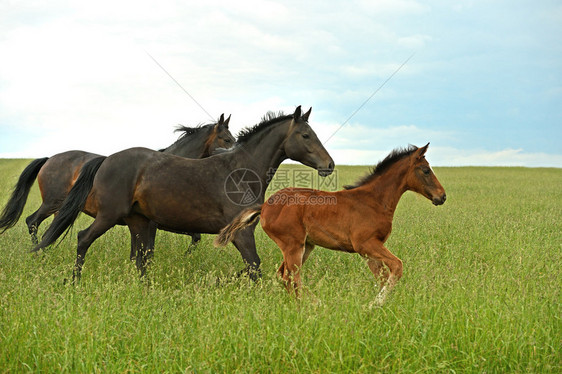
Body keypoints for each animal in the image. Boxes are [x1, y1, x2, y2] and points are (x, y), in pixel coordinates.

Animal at [0, 113, 233, 248]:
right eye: (227, 139)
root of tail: (49, 159)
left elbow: (193, 237)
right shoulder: (154, 223)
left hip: (60, 208)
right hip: (51, 203)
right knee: (32, 221)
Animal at [31, 105, 332, 280]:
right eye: (306, 135)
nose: (329, 165)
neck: (240, 171)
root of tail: (105, 160)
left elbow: (250, 266)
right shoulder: (242, 232)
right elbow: (254, 265)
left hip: (137, 221)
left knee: (140, 260)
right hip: (108, 215)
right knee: (81, 238)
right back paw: (74, 281)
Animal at [215, 144, 446, 306]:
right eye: (426, 170)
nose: (442, 196)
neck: (374, 201)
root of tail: (264, 206)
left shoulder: (369, 251)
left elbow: (382, 277)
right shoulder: (366, 244)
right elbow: (397, 267)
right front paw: (375, 304)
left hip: (305, 246)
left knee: (284, 275)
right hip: (293, 245)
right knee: (292, 276)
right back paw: (313, 305)